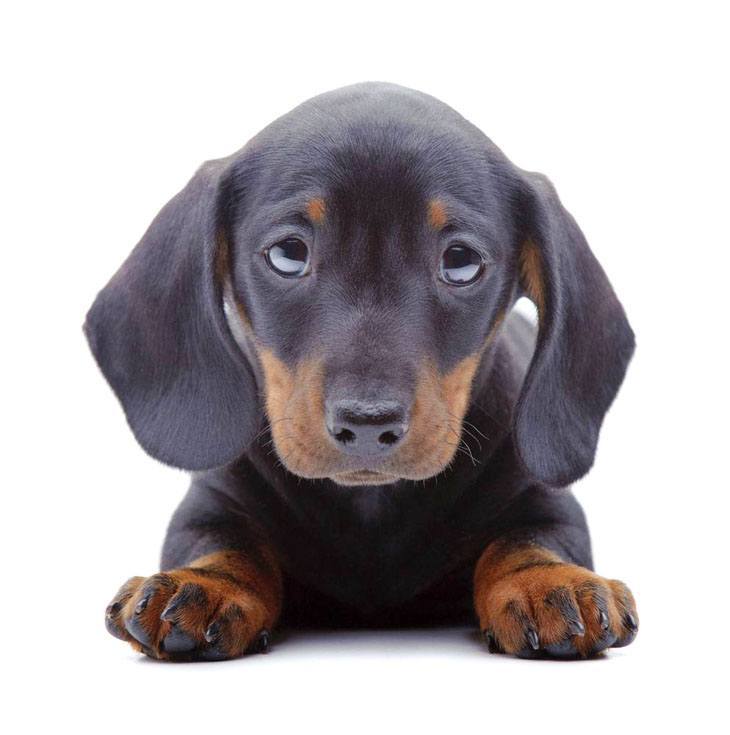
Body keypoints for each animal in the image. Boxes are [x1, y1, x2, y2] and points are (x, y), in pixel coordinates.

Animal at [86, 83, 636, 664]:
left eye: (460, 261)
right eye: (288, 253)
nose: (369, 424)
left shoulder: (542, 499)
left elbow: (528, 539)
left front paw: (547, 580)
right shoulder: (212, 501)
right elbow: (223, 541)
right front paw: (206, 582)